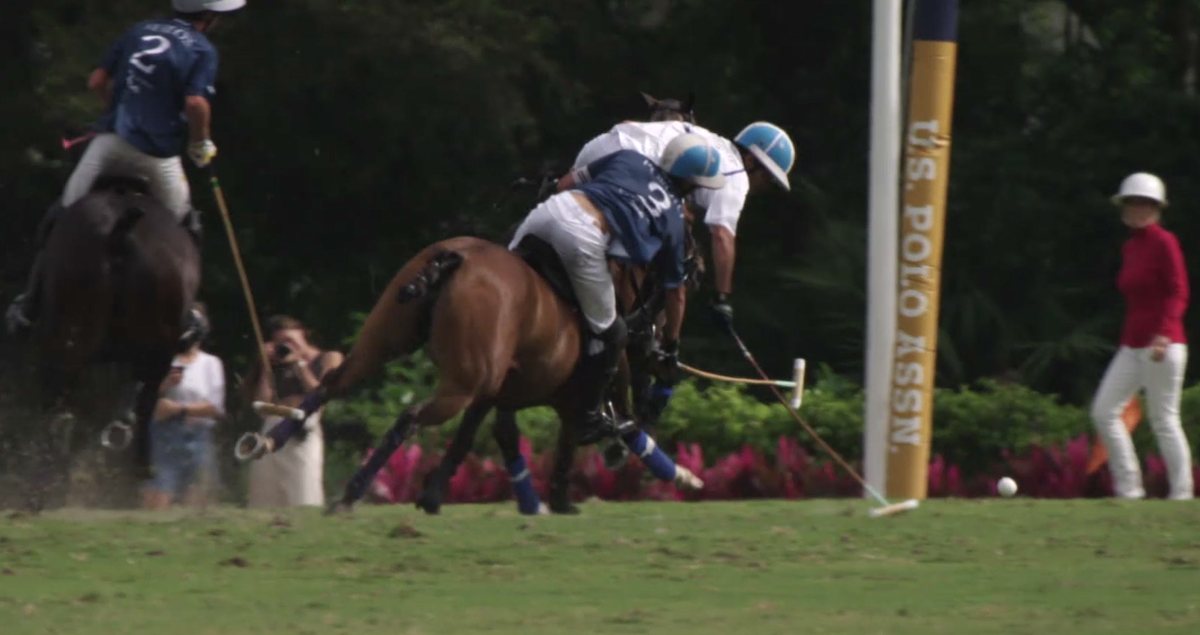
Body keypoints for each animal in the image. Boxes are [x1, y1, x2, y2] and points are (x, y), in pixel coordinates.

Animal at [15, 177, 201, 508]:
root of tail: (121, 229)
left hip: (69, 336)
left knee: (60, 402)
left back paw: (46, 481)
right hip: (154, 347)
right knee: (142, 402)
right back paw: (138, 468)